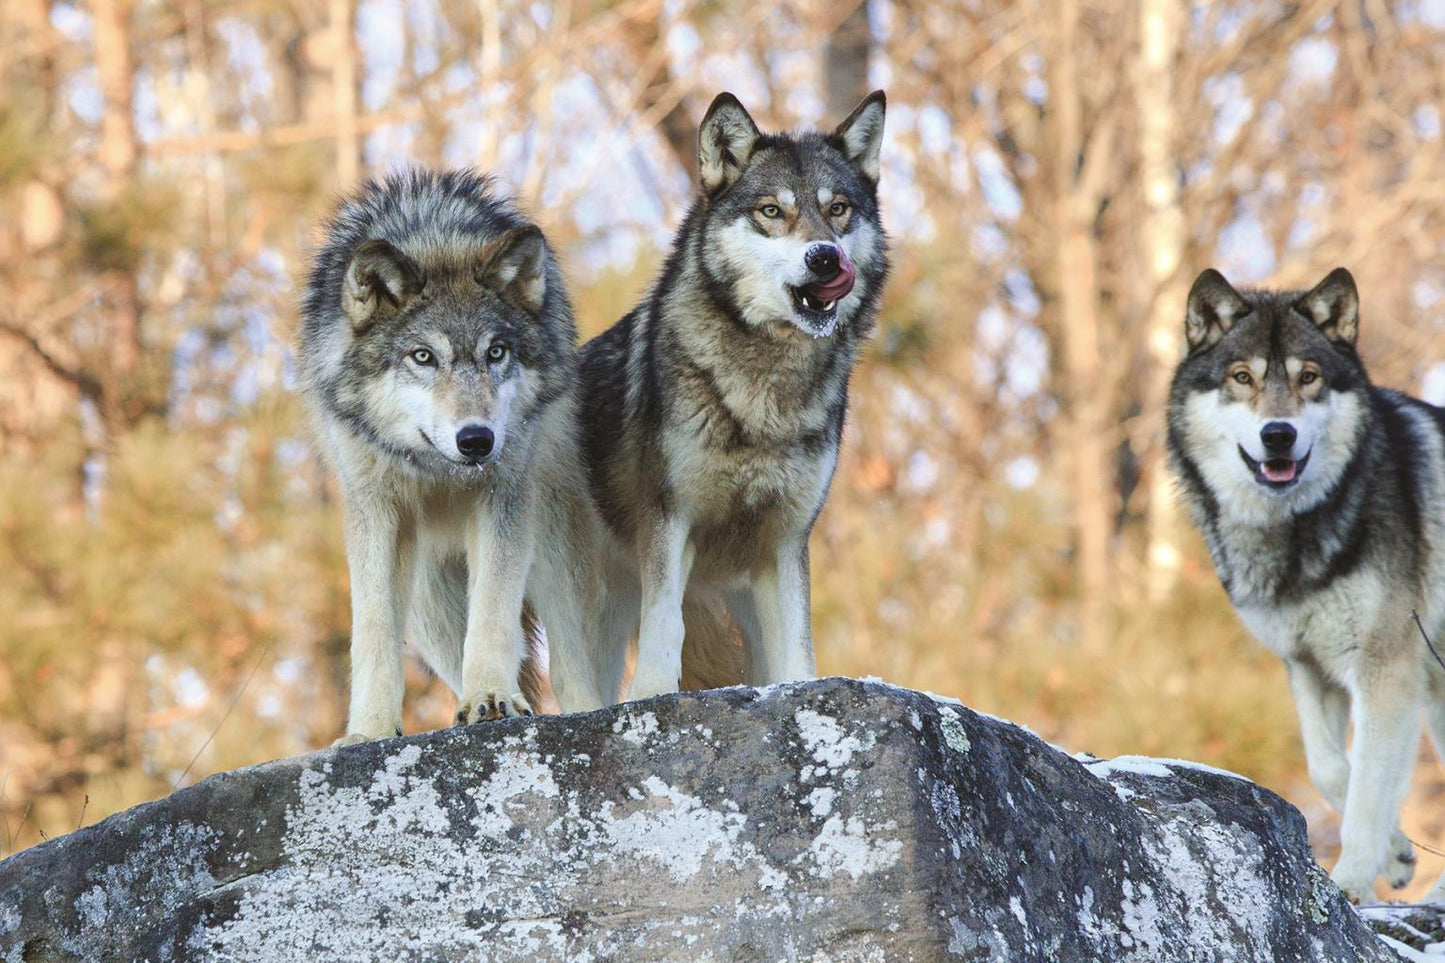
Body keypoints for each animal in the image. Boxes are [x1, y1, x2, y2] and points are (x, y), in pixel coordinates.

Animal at [299, 169, 600, 743]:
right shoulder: (375, 513)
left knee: (577, 668)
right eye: (423, 357)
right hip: (428, 604)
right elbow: (372, 631)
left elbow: (493, 613)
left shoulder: (504, 498)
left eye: (496, 352)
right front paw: (369, 730)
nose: (477, 439)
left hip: (555, 559)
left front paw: (490, 698)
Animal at [548, 91, 890, 711]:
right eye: (771, 211)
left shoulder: (785, 542)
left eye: (838, 209)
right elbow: (665, 627)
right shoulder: (668, 521)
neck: (764, 392)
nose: (825, 258)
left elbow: (797, 650)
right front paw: (652, 695)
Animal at [1167, 266, 1445, 903]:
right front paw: (1397, 852)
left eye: (1308, 377)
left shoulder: (1388, 670)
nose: (1278, 435)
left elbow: (1367, 787)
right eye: (1243, 377)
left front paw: (1351, 884)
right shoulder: (1308, 664)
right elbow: (1332, 768)